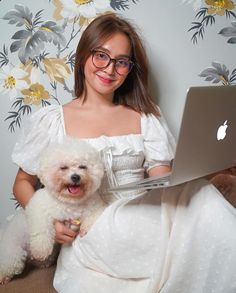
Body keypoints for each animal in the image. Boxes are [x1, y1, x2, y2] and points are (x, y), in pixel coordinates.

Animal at [0, 138, 105, 284]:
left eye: (83, 167)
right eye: (63, 168)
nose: (76, 177)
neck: (69, 201)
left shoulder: (94, 206)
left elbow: (92, 216)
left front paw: (85, 229)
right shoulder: (39, 210)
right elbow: (42, 230)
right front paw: (41, 249)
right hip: (12, 250)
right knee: (9, 262)